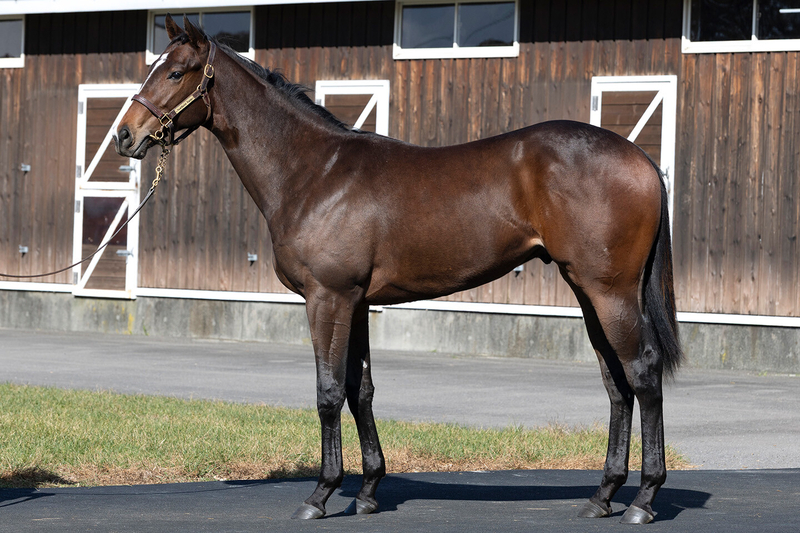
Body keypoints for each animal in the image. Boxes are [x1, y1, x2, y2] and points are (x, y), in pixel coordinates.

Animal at [115, 15, 682, 525]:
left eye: (175, 72)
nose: (124, 136)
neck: (314, 173)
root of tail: (641, 159)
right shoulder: (357, 302)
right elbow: (358, 390)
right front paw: (368, 491)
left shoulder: (328, 298)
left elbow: (327, 393)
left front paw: (320, 495)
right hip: (588, 291)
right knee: (616, 383)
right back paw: (601, 496)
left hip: (610, 292)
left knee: (642, 370)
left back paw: (643, 500)